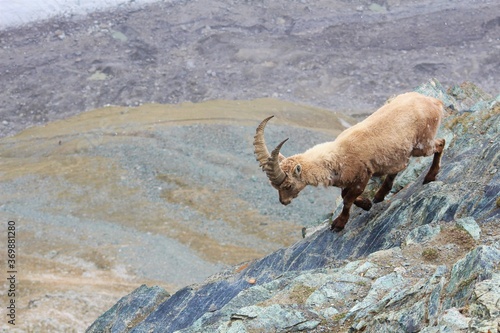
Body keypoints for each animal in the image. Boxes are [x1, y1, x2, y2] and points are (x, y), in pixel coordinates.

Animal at [254, 91, 446, 231]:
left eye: (287, 185)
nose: (283, 202)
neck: (337, 156)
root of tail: (434, 101)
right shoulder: (348, 179)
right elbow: (344, 195)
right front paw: (367, 204)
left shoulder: (363, 175)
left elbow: (347, 199)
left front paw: (339, 224)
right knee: (398, 168)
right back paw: (380, 195)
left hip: (422, 144)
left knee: (440, 144)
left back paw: (430, 176)